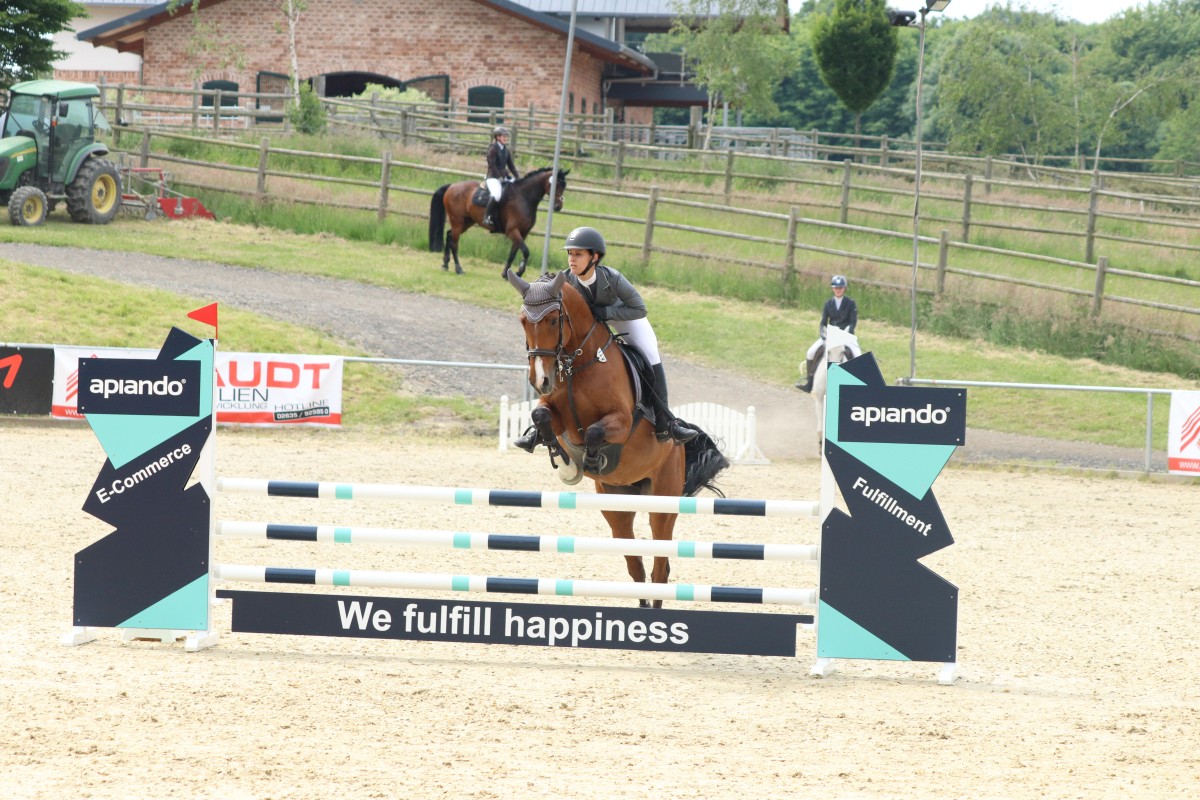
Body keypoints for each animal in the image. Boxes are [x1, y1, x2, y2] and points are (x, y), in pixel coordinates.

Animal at [427, 165, 566, 278]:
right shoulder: (512, 231)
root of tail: (451, 186)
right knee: (454, 243)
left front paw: (506, 274)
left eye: (564, 186)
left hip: (466, 222)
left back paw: (445, 264)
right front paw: (519, 272)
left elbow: (513, 253)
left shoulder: (523, 233)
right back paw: (458, 269)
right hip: (457, 220)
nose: (558, 206)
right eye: (557, 185)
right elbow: (526, 251)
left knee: (449, 235)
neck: (524, 197)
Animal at [508, 268, 729, 606]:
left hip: (662, 502)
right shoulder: (558, 416)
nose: (540, 380)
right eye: (523, 320)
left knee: (660, 569)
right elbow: (541, 417)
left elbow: (595, 431)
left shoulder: (621, 422)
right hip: (616, 505)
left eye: (553, 320)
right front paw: (562, 460)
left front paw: (588, 460)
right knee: (636, 567)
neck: (578, 363)